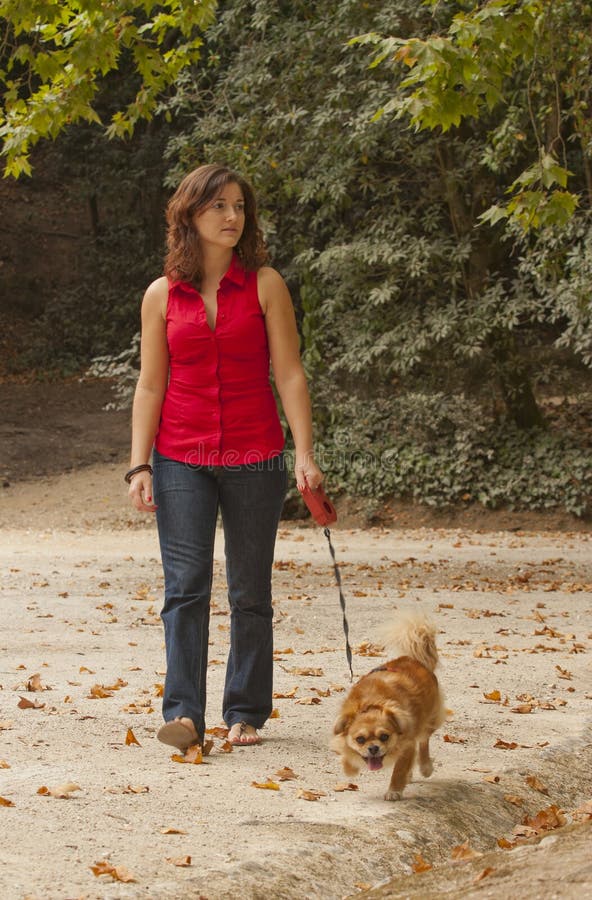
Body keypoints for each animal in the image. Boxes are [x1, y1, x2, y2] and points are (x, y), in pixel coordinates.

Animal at [332, 612, 444, 800]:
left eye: (384, 737)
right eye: (360, 739)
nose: (373, 748)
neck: (372, 704)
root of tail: (415, 660)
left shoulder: (407, 745)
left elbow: (398, 770)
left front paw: (394, 790)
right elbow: (347, 753)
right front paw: (350, 767)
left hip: (428, 721)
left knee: (423, 741)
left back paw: (425, 766)